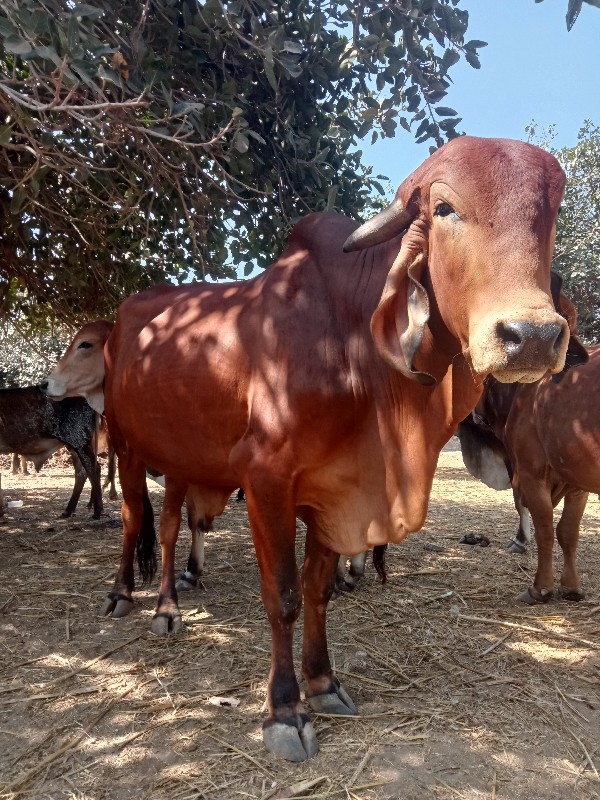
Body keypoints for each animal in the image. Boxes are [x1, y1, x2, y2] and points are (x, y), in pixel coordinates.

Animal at [43, 139, 576, 764]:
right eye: (443, 208)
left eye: (552, 210)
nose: (532, 337)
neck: (351, 346)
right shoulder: (266, 482)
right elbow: (285, 596)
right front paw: (285, 710)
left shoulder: (336, 491)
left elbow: (320, 589)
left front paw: (323, 683)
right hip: (126, 446)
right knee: (133, 521)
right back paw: (124, 594)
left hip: (179, 460)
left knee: (171, 528)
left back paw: (168, 606)